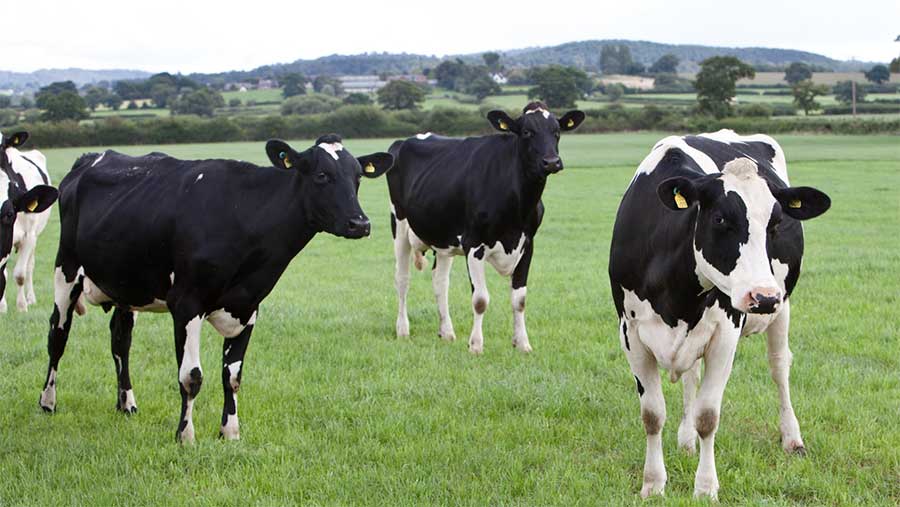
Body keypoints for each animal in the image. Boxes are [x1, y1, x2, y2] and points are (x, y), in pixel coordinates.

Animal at [0, 131, 58, 314]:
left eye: (2, 145)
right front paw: (2, 307)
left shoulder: (29, 236)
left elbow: (20, 274)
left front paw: (22, 306)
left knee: (30, 266)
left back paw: (31, 298)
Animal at [38, 136, 392, 444]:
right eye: (322, 175)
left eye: (358, 177)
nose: (360, 223)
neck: (241, 215)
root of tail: (89, 159)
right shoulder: (186, 304)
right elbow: (191, 376)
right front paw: (186, 436)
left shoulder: (248, 307)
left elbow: (232, 376)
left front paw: (230, 433)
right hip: (66, 270)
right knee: (57, 337)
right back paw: (48, 402)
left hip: (127, 283)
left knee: (120, 341)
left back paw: (127, 404)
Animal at [384, 102, 584, 358]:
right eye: (527, 132)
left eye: (557, 131)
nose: (551, 161)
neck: (517, 204)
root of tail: (406, 140)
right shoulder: (474, 243)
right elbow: (480, 300)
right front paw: (476, 345)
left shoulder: (527, 244)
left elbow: (519, 299)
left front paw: (522, 344)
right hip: (399, 225)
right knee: (402, 278)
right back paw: (402, 329)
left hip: (443, 237)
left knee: (440, 281)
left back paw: (446, 332)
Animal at [608, 130, 832, 500]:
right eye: (720, 219)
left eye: (776, 223)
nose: (763, 296)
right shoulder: (631, 333)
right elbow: (652, 414)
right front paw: (653, 484)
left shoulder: (725, 334)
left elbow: (708, 416)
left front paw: (705, 488)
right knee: (690, 377)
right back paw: (685, 441)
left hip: (783, 307)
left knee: (779, 366)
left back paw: (792, 437)